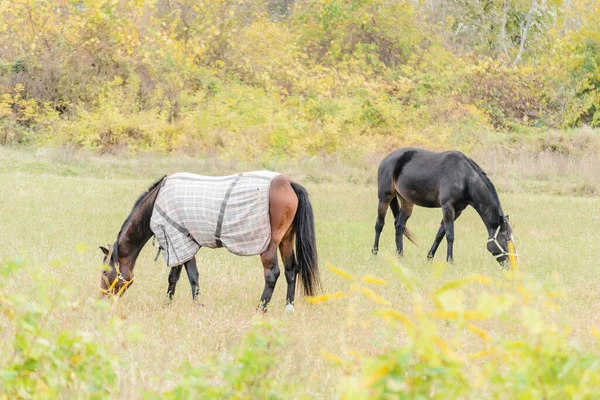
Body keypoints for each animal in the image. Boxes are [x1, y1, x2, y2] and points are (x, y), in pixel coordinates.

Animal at [370, 147, 516, 266]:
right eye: (506, 239)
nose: (512, 265)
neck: (463, 177)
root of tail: (386, 159)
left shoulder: (458, 210)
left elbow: (440, 233)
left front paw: (430, 257)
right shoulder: (447, 207)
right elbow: (450, 235)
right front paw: (450, 261)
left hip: (406, 202)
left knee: (399, 225)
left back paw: (400, 255)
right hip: (384, 198)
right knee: (379, 225)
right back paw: (375, 253)